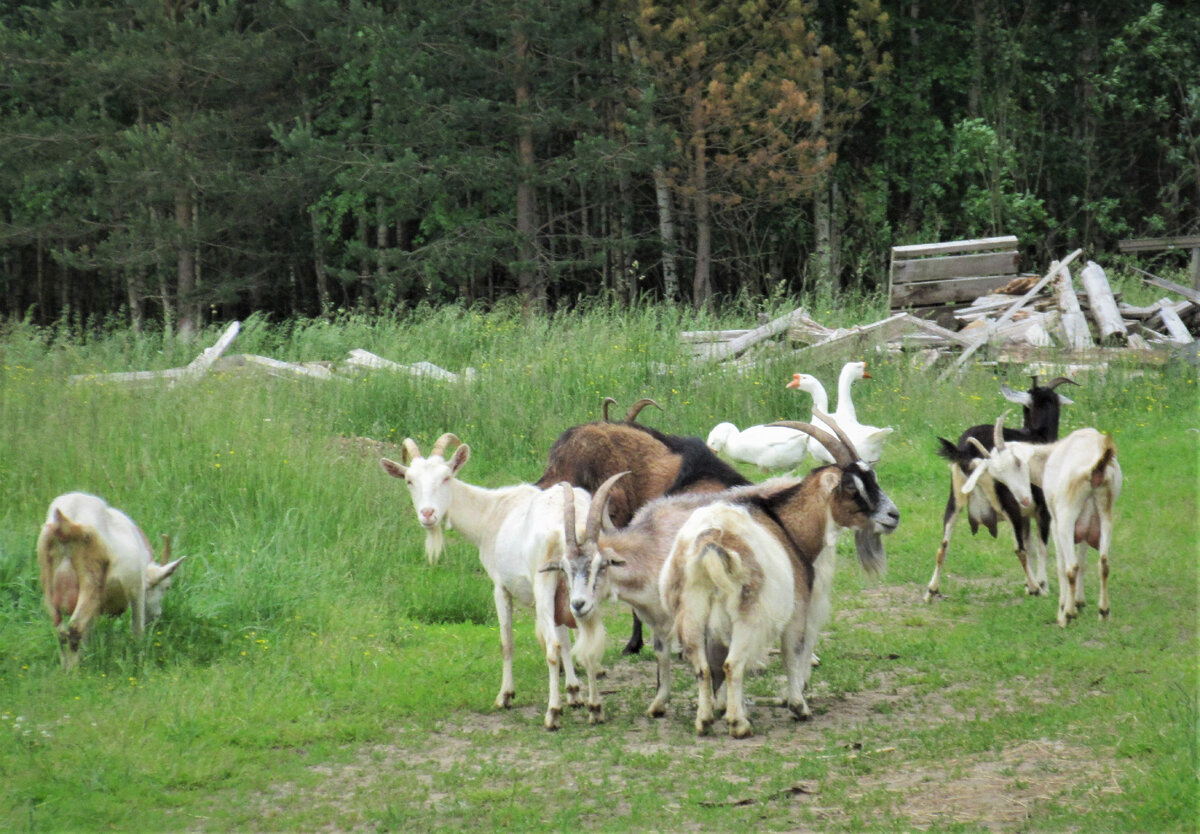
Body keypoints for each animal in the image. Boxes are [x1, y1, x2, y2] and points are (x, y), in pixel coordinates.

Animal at [36, 492, 184, 676]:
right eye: (166, 587)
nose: (156, 616)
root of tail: (66, 521)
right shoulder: (137, 589)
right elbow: (137, 628)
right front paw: (139, 655)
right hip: (91, 579)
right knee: (76, 626)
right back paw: (74, 671)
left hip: (47, 577)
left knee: (61, 629)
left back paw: (66, 668)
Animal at [381, 436, 604, 729]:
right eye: (409, 480)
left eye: (446, 477)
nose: (428, 514)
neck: (491, 514)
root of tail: (573, 526)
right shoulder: (561, 596)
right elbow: (567, 639)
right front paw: (574, 693)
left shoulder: (501, 586)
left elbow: (507, 642)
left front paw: (505, 696)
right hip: (588, 583)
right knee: (589, 642)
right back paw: (596, 708)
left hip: (544, 580)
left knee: (552, 647)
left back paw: (552, 713)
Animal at [921, 376, 1084, 600]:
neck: (1038, 435)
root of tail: (968, 451)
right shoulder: (1042, 510)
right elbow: (1041, 546)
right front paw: (1042, 586)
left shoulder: (1025, 516)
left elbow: (1030, 546)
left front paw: (1029, 585)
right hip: (1009, 503)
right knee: (1019, 549)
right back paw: (1036, 587)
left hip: (955, 500)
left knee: (943, 545)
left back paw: (932, 591)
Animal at [960, 424, 1118, 624]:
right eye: (999, 477)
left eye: (1018, 462)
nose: (1024, 500)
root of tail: (1096, 466)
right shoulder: (1087, 521)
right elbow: (1082, 559)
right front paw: (1079, 602)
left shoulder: (1053, 519)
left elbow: (1060, 564)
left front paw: (1064, 605)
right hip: (1105, 512)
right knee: (1103, 563)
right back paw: (1104, 612)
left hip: (1066, 517)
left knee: (1070, 567)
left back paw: (1066, 615)